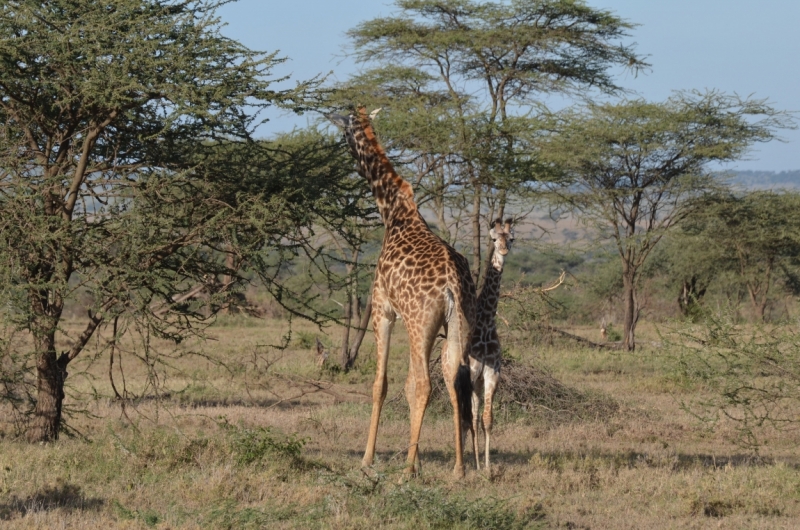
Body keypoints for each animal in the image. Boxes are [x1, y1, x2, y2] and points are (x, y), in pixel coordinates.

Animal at [330, 108, 478, 478]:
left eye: (346, 125)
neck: (394, 212)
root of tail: (452, 284)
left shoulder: (384, 309)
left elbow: (380, 385)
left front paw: (368, 458)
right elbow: (409, 387)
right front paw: (419, 455)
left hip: (418, 323)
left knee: (426, 384)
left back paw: (407, 471)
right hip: (457, 325)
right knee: (455, 383)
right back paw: (458, 468)